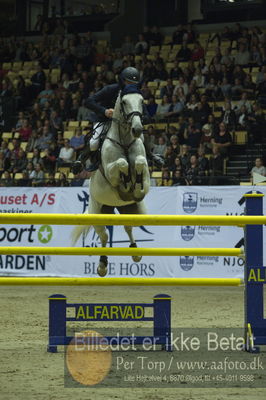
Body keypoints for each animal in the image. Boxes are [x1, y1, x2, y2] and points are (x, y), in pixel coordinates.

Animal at [71, 88, 151, 276]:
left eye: (141, 101)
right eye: (124, 102)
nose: (137, 129)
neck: (125, 141)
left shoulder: (145, 172)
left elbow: (139, 163)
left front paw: (135, 188)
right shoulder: (109, 170)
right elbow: (122, 164)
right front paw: (126, 182)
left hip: (131, 210)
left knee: (128, 227)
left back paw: (135, 252)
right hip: (98, 211)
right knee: (104, 235)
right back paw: (102, 265)